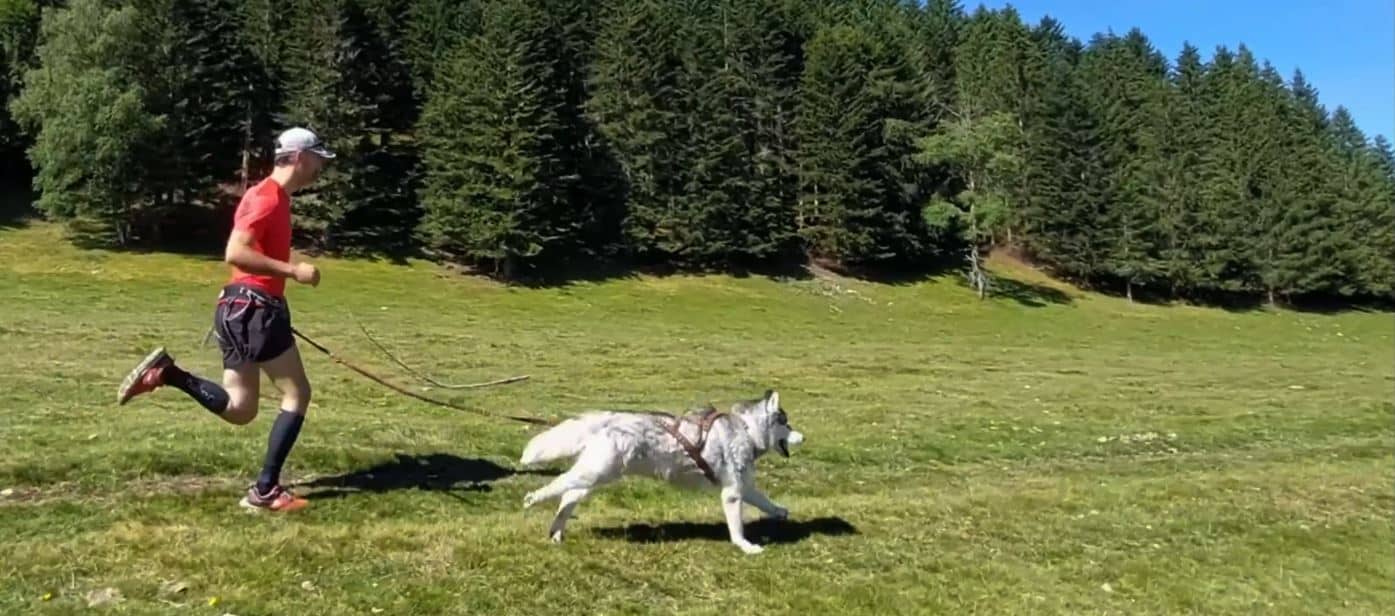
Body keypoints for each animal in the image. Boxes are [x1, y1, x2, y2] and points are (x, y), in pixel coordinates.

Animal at [521, 393, 809, 554]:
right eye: (786, 423)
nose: (803, 437)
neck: (747, 431)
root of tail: (612, 418)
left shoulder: (743, 487)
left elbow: (763, 500)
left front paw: (780, 511)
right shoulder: (732, 494)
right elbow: (737, 528)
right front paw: (745, 547)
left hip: (594, 477)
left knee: (567, 498)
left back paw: (556, 532)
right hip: (593, 473)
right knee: (558, 484)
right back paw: (534, 499)